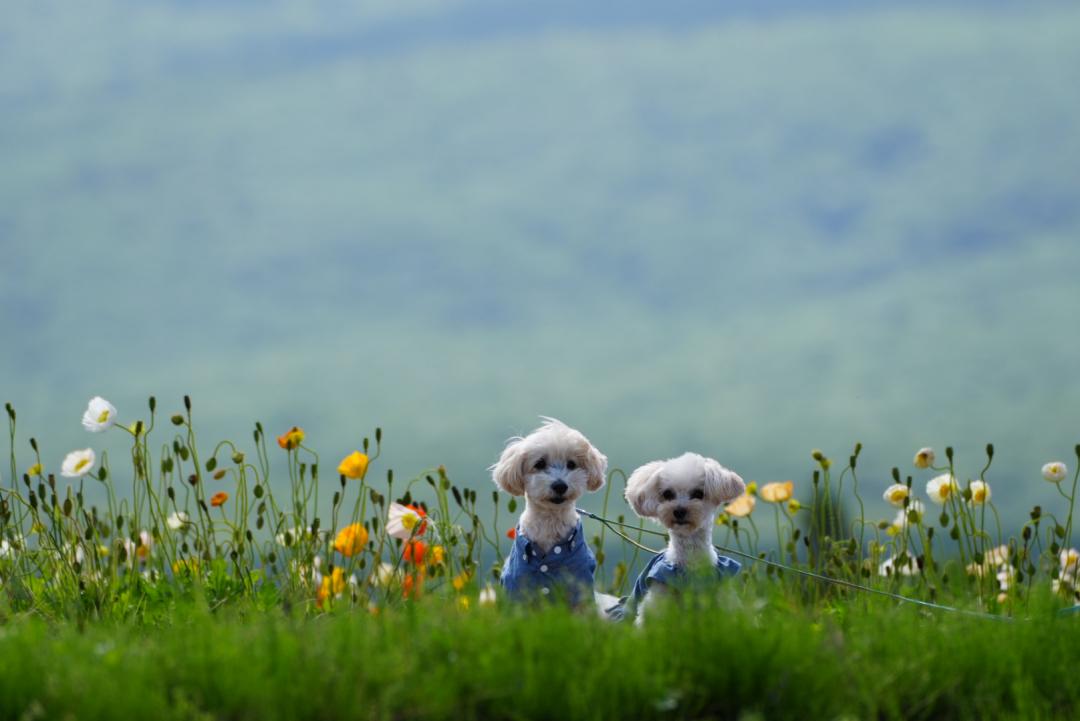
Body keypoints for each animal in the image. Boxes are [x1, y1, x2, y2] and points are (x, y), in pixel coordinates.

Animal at [492, 418, 609, 604]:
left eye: (571, 464)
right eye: (539, 464)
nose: (560, 485)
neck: (550, 523)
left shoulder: (578, 584)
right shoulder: (516, 586)